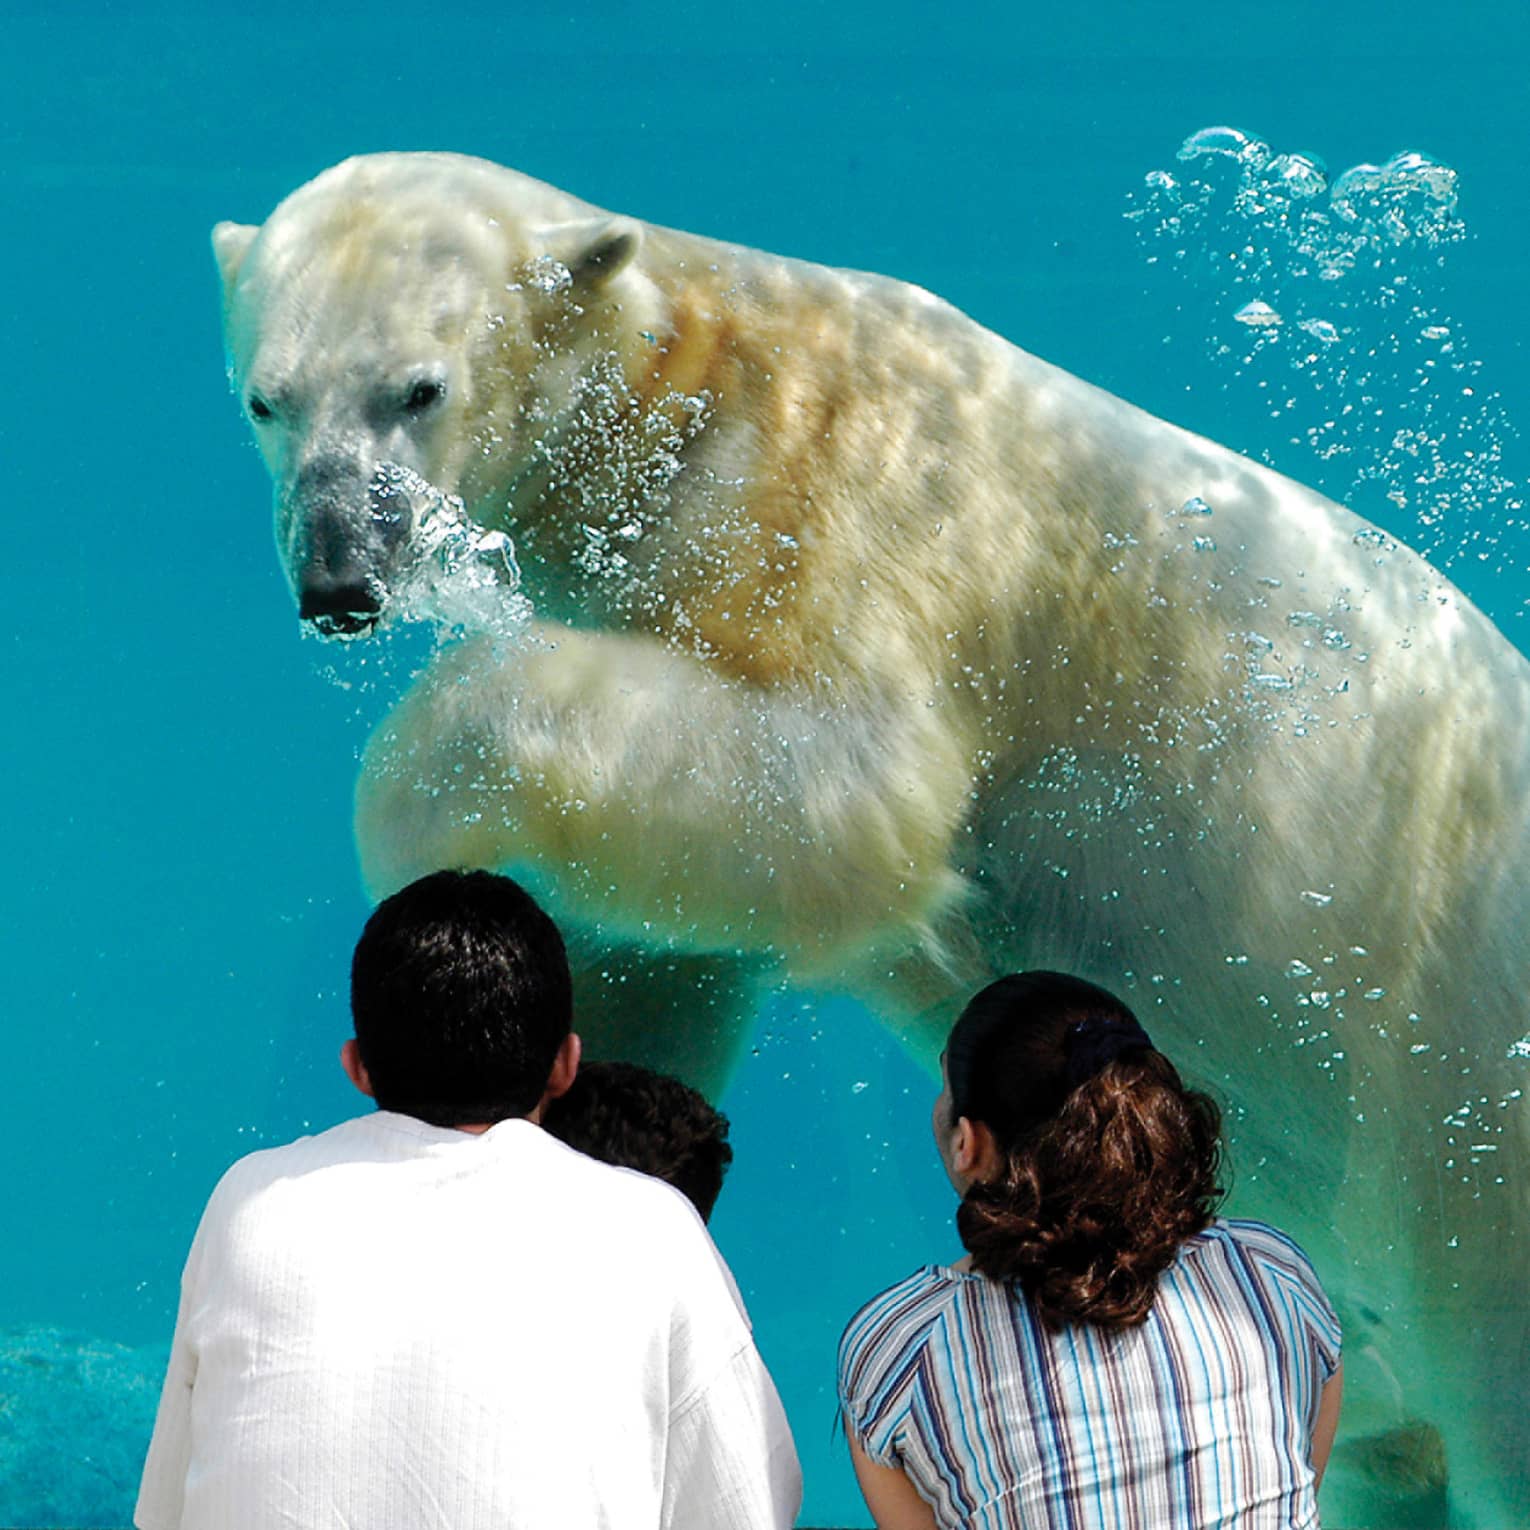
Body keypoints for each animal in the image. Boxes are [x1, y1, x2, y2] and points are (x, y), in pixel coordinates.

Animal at [212, 152, 1529, 1525]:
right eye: (266, 399)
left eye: (416, 388)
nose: (337, 582)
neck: (689, 376)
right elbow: (673, 933)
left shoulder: (848, 504)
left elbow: (850, 788)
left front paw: (411, 810)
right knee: (1391, 1447)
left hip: (1465, 1112)